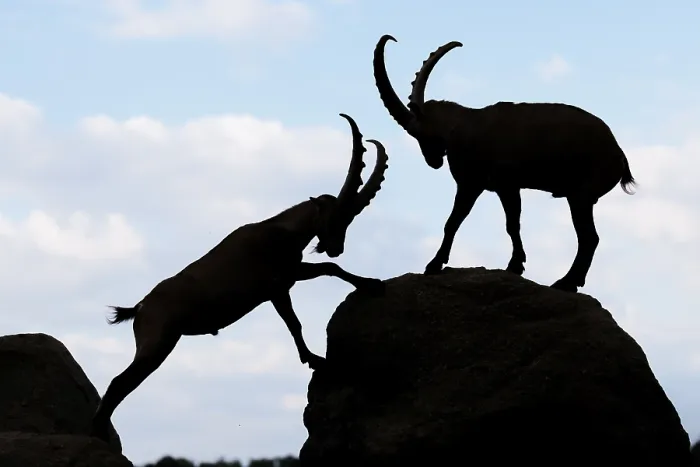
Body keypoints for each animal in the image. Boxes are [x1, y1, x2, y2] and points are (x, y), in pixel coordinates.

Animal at [90, 113, 389, 443]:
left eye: (349, 218)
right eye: (335, 216)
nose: (336, 248)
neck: (282, 232)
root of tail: (140, 308)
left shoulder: (291, 274)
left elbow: (328, 271)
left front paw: (371, 283)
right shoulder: (276, 287)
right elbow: (294, 323)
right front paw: (313, 359)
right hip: (157, 343)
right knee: (119, 383)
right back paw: (98, 431)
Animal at [372, 34, 636, 293]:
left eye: (417, 132)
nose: (433, 161)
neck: (462, 126)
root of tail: (618, 154)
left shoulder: (494, 184)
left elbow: (497, 223)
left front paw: (512, 265)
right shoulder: (483, 186)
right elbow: (467, 221)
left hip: (581, 195)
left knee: (589, 238)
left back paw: (567, 282)